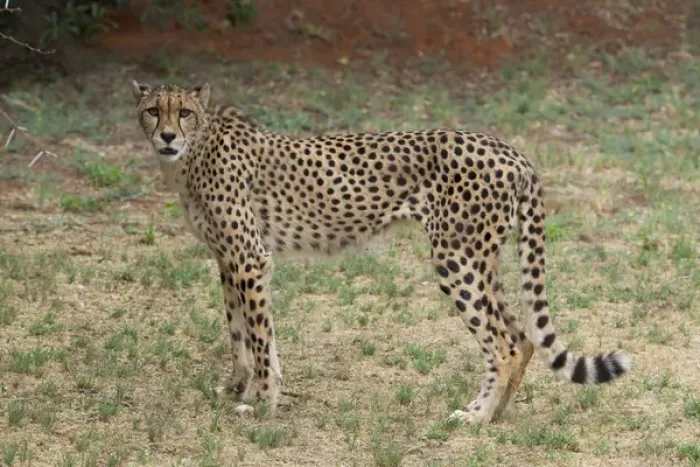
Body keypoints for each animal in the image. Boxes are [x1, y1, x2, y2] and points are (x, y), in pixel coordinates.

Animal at [130, 80, 631, 424]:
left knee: (504, 345)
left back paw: (476, 417)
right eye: (153, 111)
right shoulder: (228, 260)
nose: (168, 137)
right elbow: (239, 332)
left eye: (185, 112)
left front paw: (265, 404)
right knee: (523, 337)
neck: (193, 154)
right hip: (482, 260)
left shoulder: (250, 258)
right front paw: (238, 388)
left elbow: (258, 336)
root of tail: (510, 150)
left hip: (456, 260)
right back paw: (498, 412)